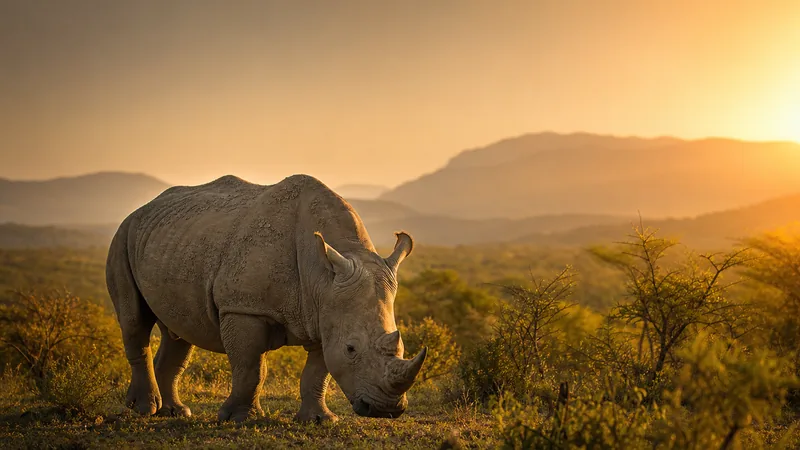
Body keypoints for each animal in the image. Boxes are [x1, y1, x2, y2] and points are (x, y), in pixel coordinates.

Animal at [105, 174, 426, 422]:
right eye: (351, 349)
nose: (386, 410)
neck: (322, 275)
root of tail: (142, 209)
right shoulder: (244, 307)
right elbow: (251, 367)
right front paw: (239, 418)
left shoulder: (323, 311)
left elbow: (317, 372)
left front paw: (319, 420)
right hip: (122, 237)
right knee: (134, 322)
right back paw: (144, 410)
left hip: (172, 242)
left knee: (179, 332)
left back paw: (174, 412)